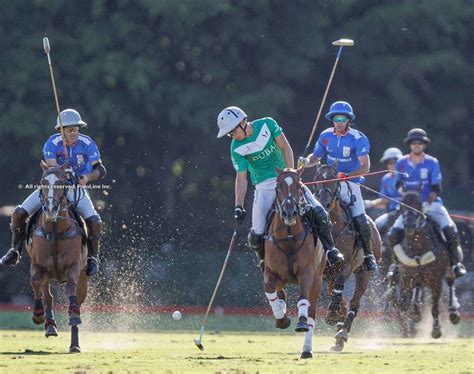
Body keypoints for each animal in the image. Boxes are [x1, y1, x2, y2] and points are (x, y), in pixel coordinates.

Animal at [26, 162, 88, 352]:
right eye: (43, 182)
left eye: (62, 182)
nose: (51, 209)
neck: (54, 230)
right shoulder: (37, 265)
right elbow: (36, 283)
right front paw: (38, 315)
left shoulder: (74, 266)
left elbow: (71, 289)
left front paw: (74, 316)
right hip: (47, 274)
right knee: (48, 296)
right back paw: (50, 326)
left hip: (84, 276)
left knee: (77, 299)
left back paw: (74, 344)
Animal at [262, 167, 326, 360]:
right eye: (277, 187)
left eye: (299, 186)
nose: (289, 213)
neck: (289, 237)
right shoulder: (270, 272)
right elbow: (269, 289)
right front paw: (282, 319)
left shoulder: (307, 274)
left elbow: (303, 299)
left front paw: (301, 322)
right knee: (280, 292)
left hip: (318, 280)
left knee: (312, 312)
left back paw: (306, 349)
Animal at [314, 164, 382, 350]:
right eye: (317, 178)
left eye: (335, 180)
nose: (324, 203)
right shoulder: (323, 272)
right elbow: (338, 298)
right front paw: (332, 316)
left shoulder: (346, 266)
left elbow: (340, 291)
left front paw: (331, 316)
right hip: (329, 276)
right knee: (341, 301)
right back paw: (339, 333)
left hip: (363, 273)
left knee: (354, 302)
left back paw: (343, 333)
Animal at [388, 191, 460, 338]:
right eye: (402, 206)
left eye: (419, 205)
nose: (409, 225)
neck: (417, 247)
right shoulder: (407, 279)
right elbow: (406, 303)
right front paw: (414, 315)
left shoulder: (435, 281)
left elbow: (435, 308)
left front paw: (436, 330)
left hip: (449, 269)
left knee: (450, 283)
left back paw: (454, 312)